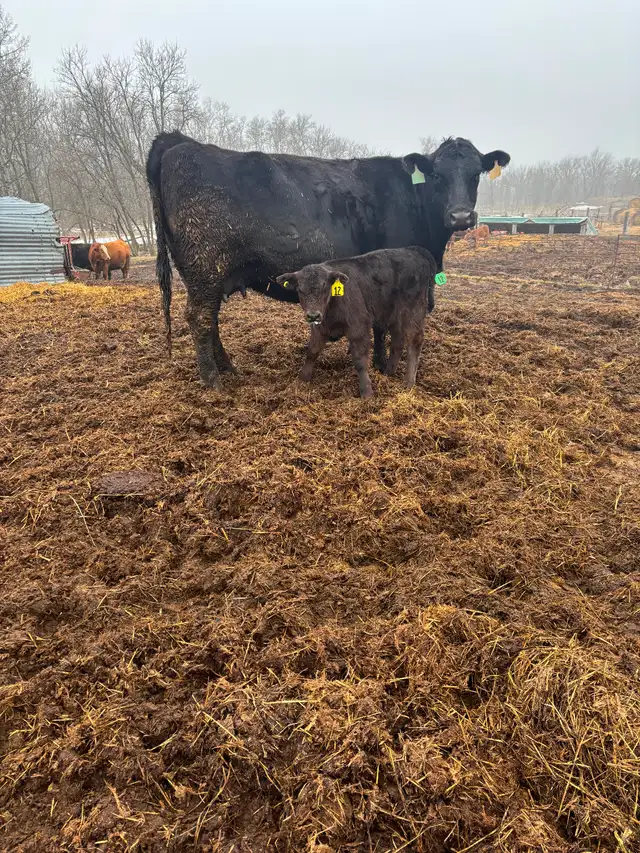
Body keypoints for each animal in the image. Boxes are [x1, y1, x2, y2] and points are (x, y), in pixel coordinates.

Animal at [275, 247, 437, 398]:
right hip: (393, 316)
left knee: (414, 342)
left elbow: (360, 361)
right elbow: (312, 352)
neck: (332, 308)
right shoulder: (319, 328)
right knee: (397, 342)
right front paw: (301, 380)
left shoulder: (358, 328)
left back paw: (408, 383)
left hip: (413, 312)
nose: (313, 315)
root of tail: (412, 250)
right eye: (300, 290)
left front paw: (367, 392)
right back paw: (388, 373)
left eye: (325, 288)